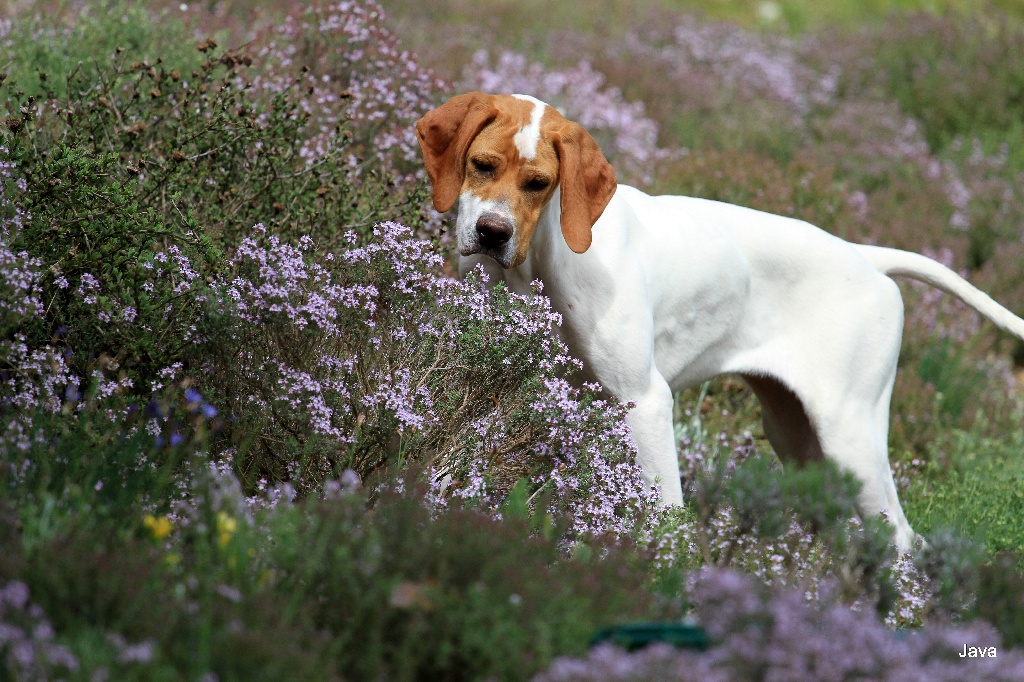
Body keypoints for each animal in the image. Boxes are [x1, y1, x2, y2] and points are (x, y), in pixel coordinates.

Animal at [413, 91, 1024, 548]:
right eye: (482, 165)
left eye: (538, 184)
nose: (492, 232)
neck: (539, 263)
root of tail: (865, 256)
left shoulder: (646, 403)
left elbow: (663, 515)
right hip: (799, 439)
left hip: (850, 440)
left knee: (902, 540)